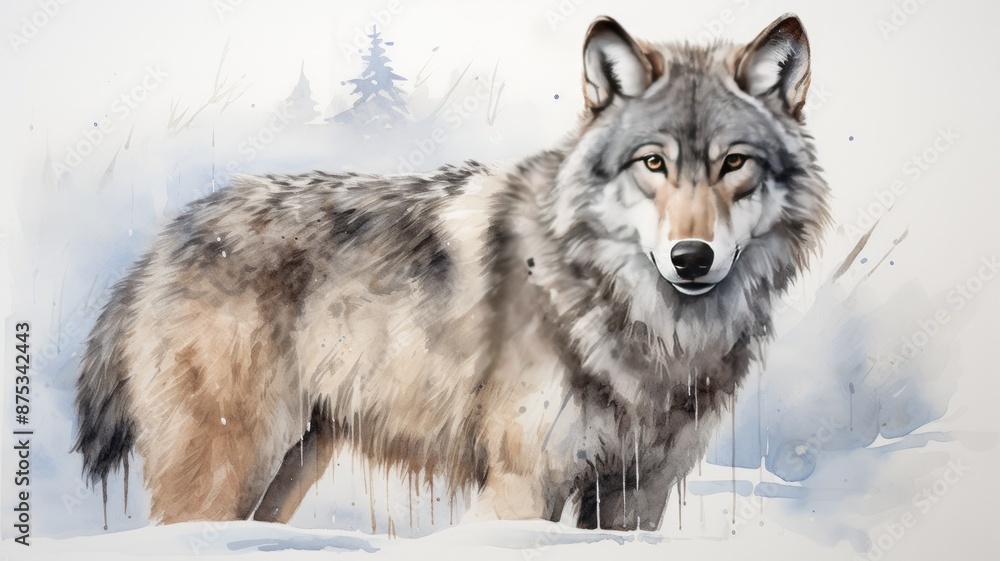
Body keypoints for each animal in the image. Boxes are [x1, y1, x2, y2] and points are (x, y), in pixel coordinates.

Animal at [74, 13, 829, 531]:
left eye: (735, 163)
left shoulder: (637, 495)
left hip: (289, 471)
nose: (691, 257)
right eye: (653, 163)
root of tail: (162, 241)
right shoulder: (522, 485)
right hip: (229, 472)